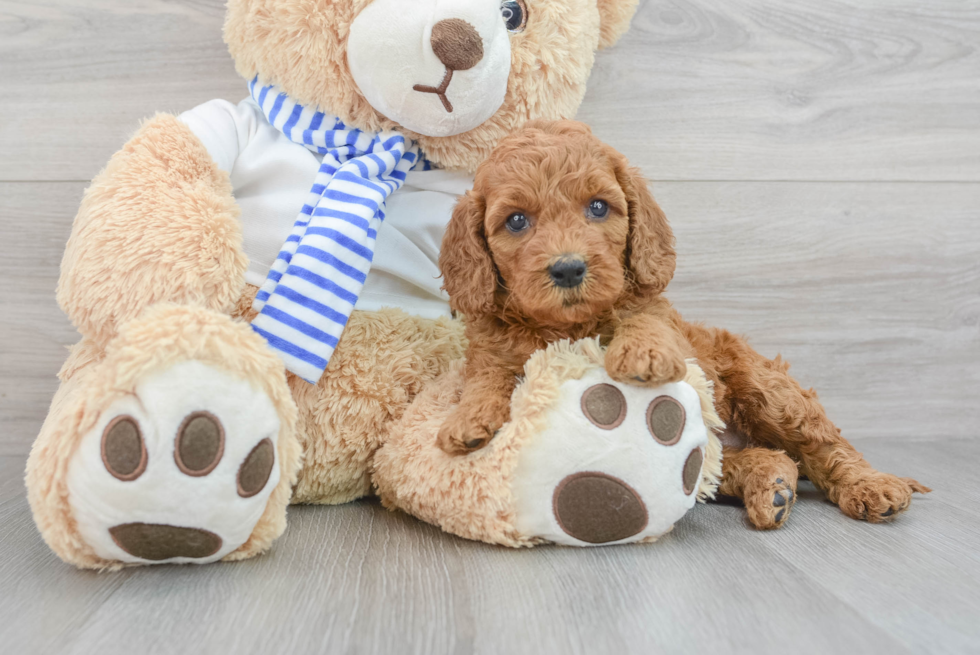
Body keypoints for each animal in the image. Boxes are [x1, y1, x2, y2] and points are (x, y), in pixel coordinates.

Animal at [436, 120, 928, 532]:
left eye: (598, 208)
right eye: (517, 220)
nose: (568, 269)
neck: (567, 326)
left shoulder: (658, 314)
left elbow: (644, 320)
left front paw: (643, 354)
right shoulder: (491, 348)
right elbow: (488, 376)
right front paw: (468, 419)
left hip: (768, 389)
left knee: (824, 444)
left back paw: (870, 486)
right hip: (720, 452)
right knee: (751, 461)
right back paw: (772, 485)